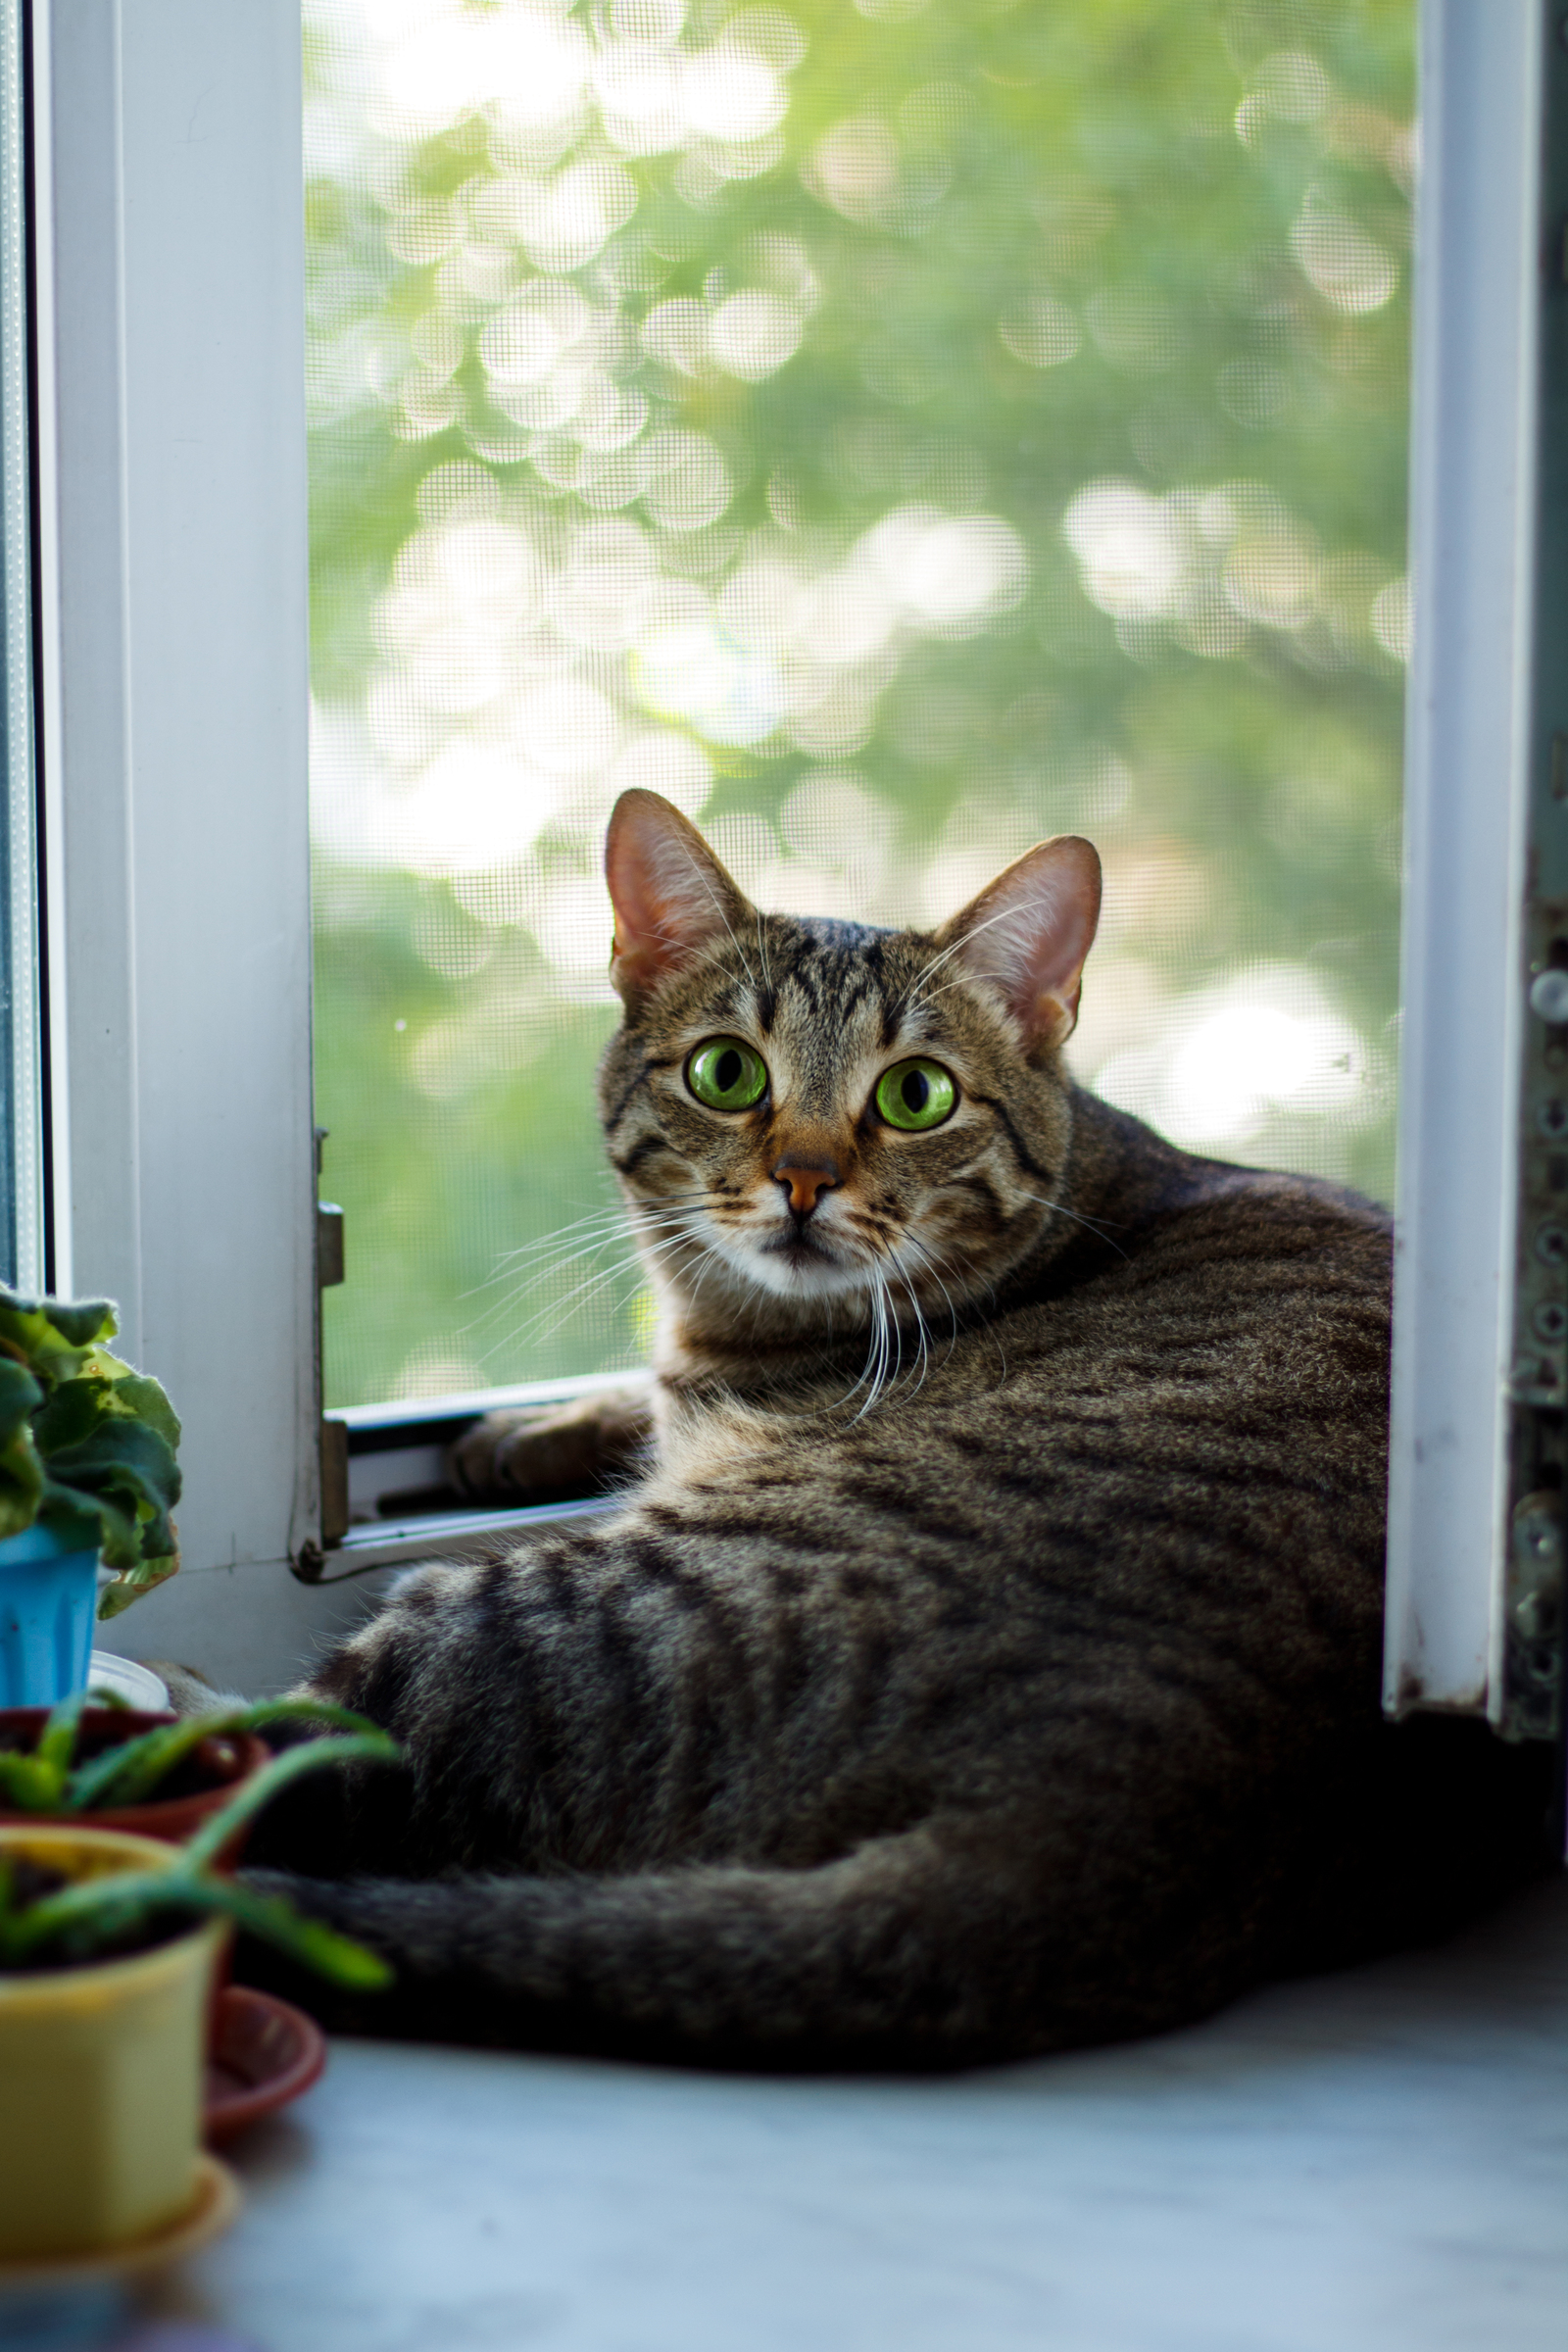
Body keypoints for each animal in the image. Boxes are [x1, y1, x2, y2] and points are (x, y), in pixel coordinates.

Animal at [239, 785, 1551, 2060]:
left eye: (915, 1095)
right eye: (727, 1074)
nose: (804, 1179)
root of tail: (1117, 1795)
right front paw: (519, 1433)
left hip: (534, 1618)